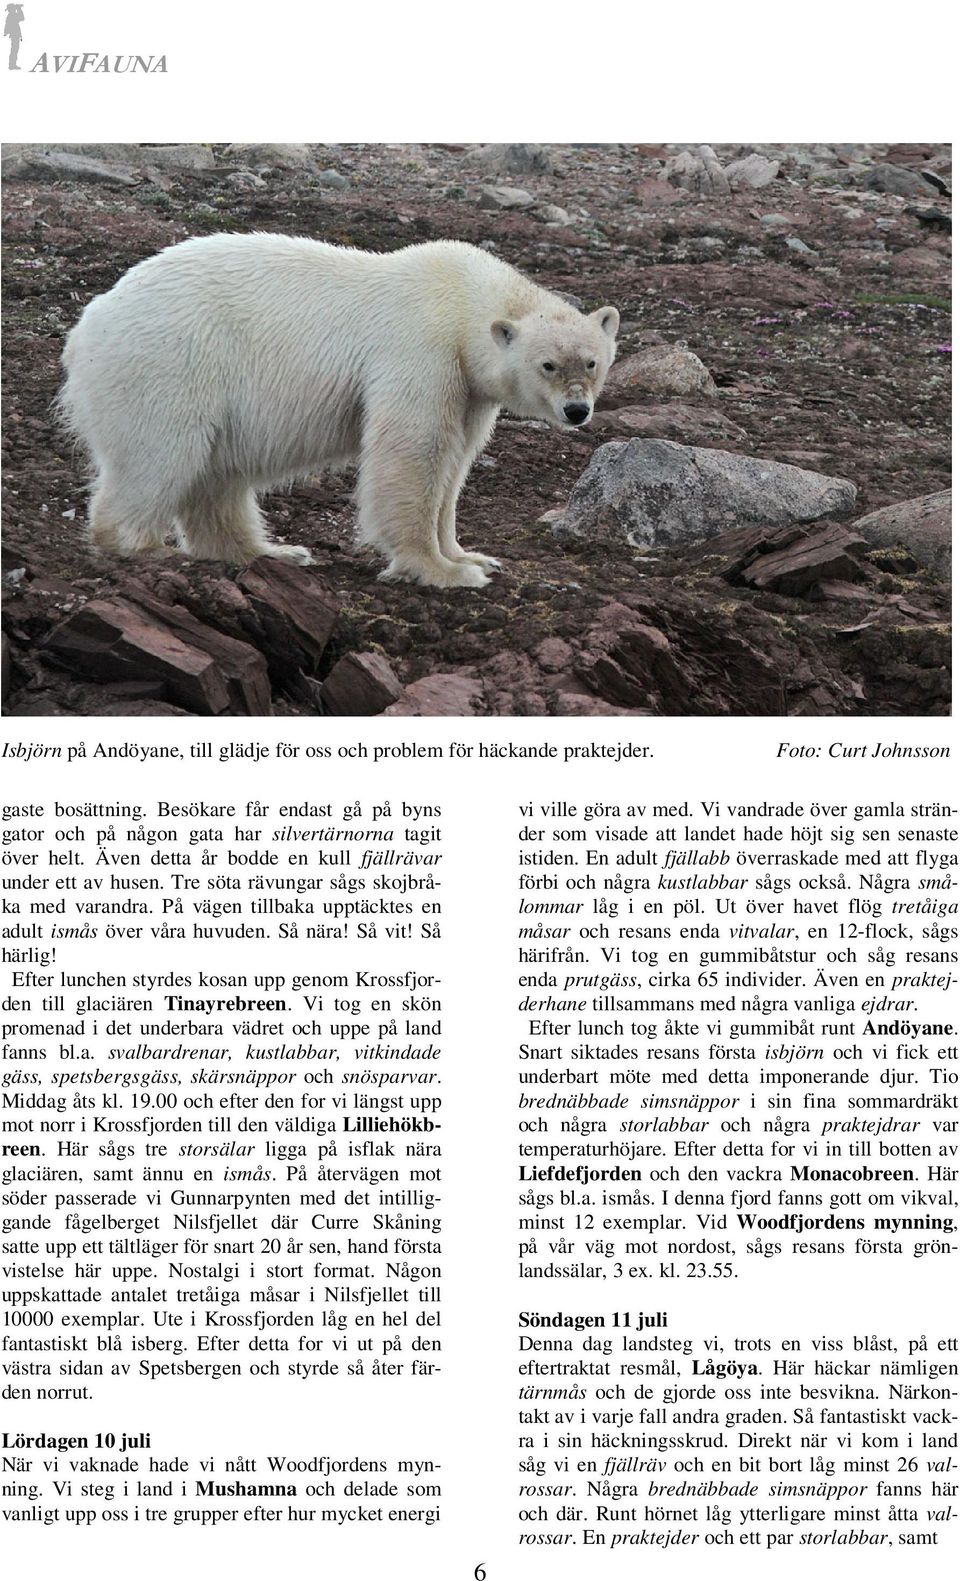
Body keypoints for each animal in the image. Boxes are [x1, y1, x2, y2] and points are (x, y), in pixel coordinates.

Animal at [60, 240, 619, 594]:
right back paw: (146, 548)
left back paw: (271, 552)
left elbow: (455, 461)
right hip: (169, 364)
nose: (576, 410)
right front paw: (441, 570)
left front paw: (470, 555)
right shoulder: (421, 351)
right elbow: (413, 450)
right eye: (548, 365)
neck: (461, 300)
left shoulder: (470, 389)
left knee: (217, 474)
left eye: (592, 361)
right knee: (162, 454)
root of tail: (87, 322)